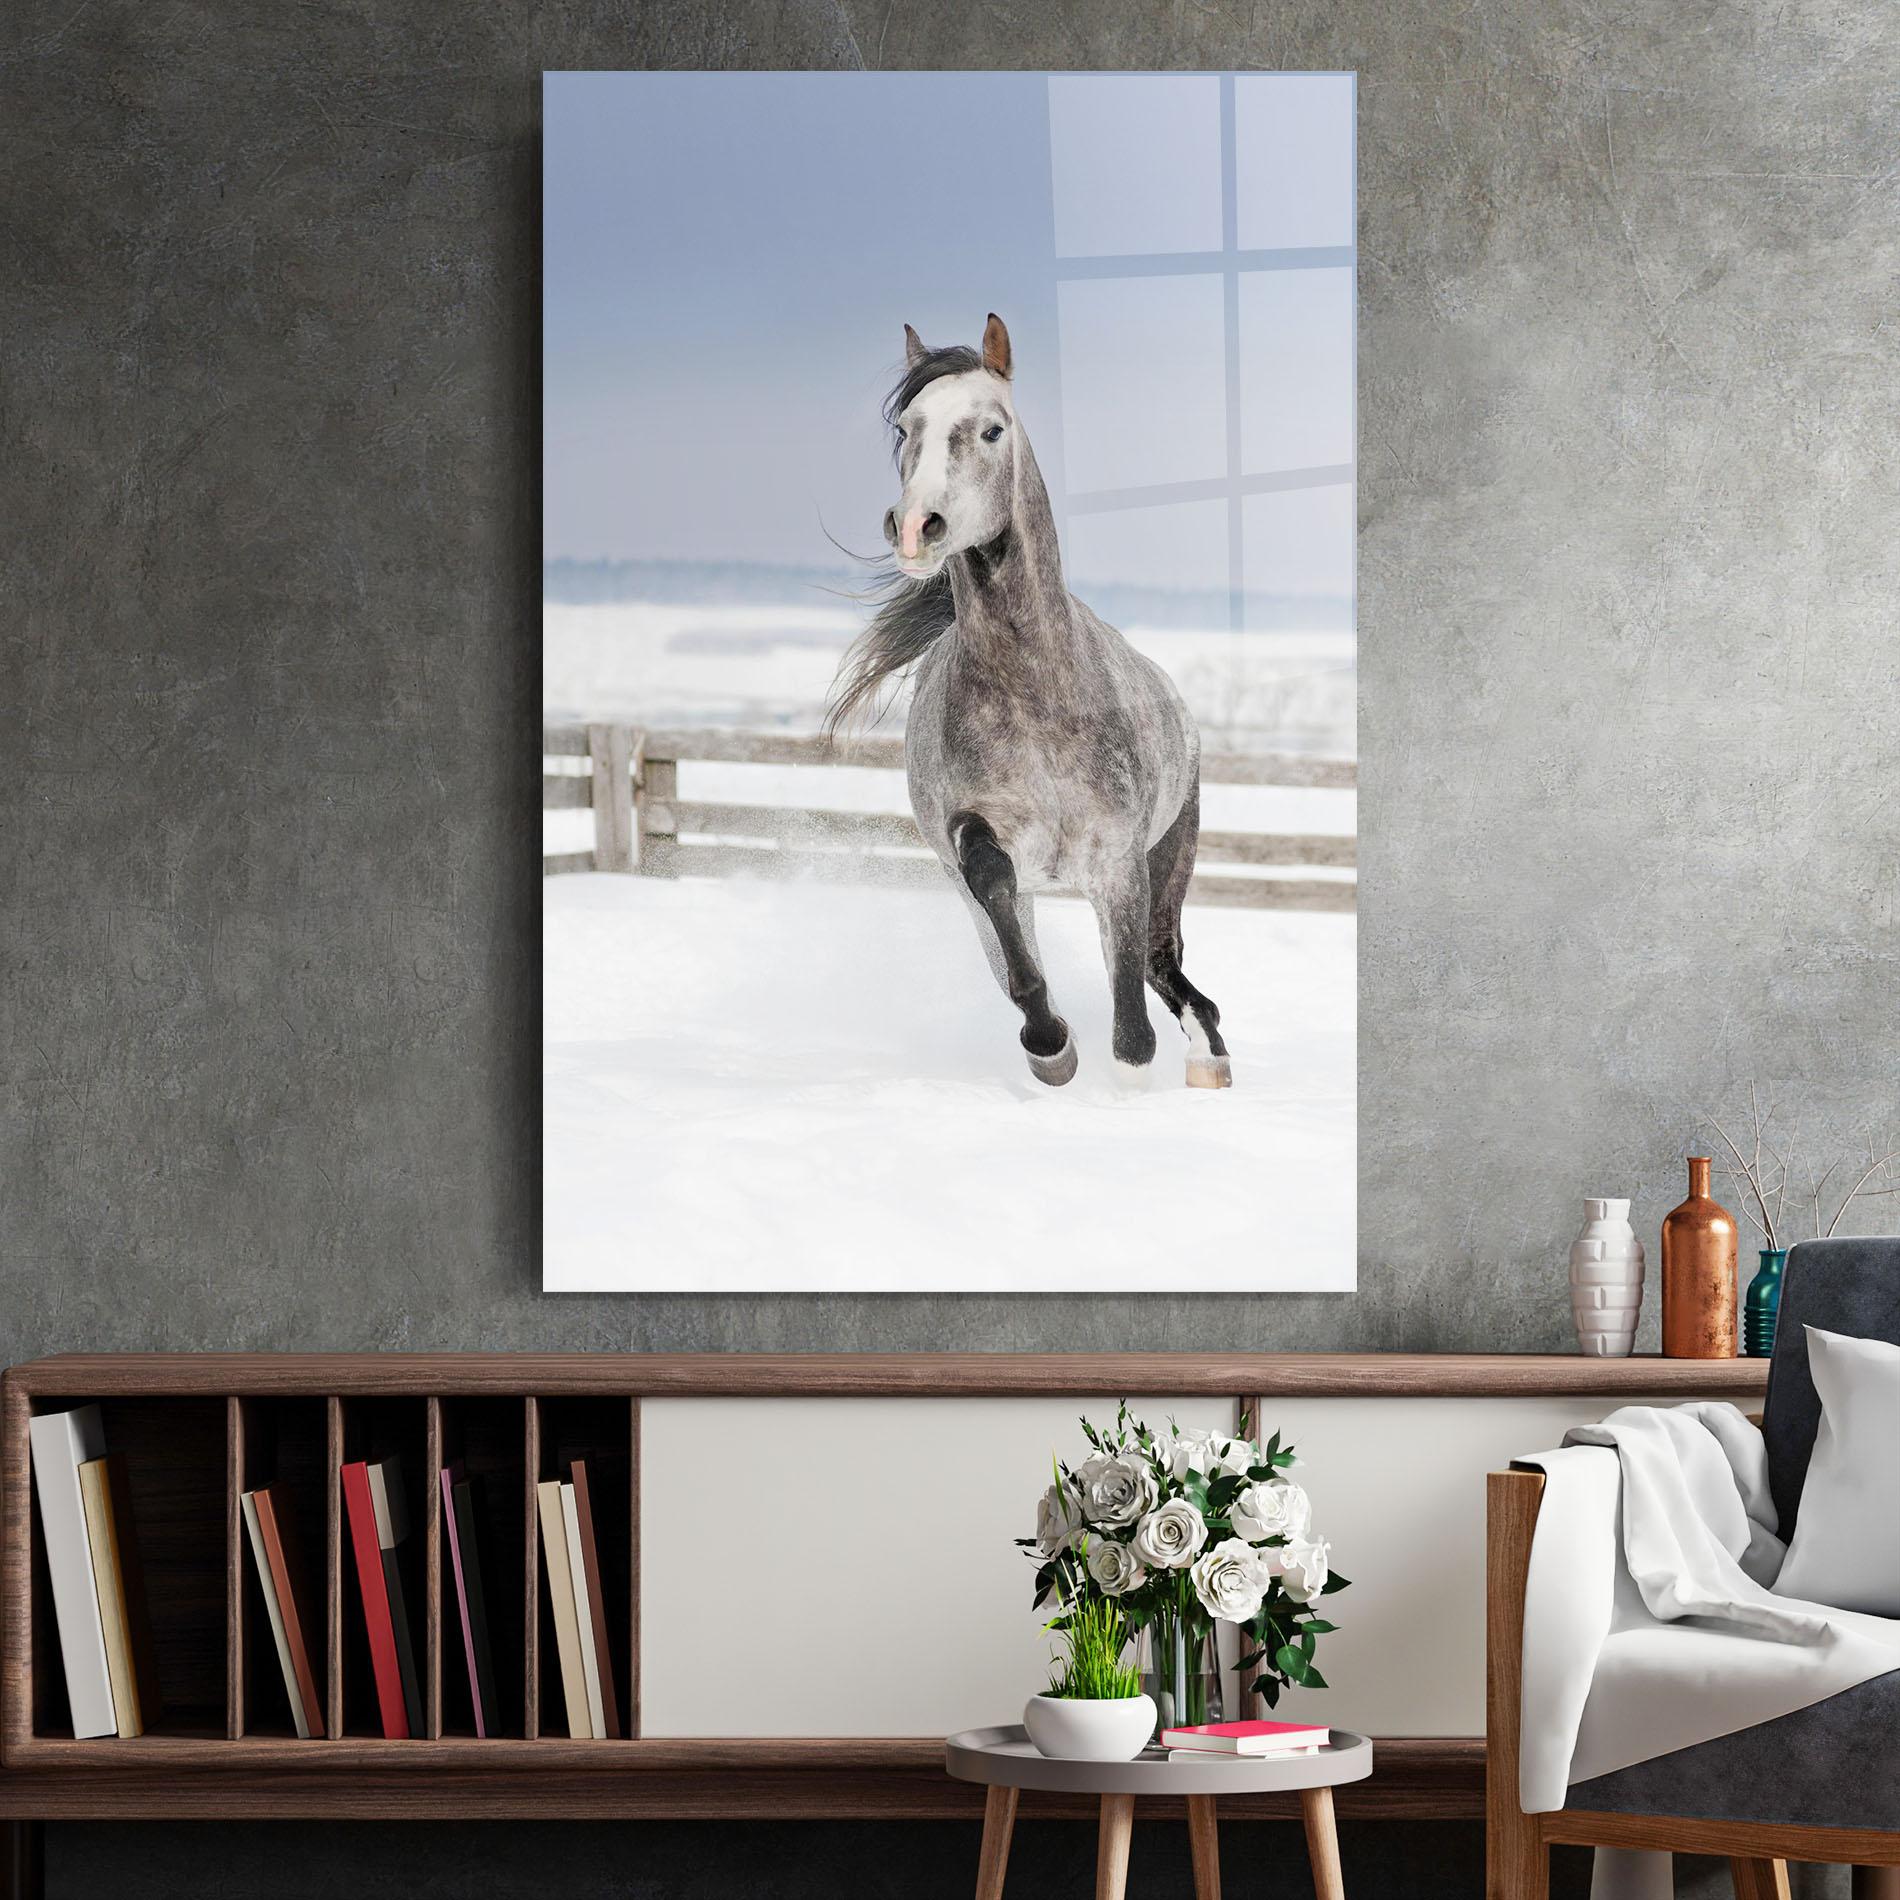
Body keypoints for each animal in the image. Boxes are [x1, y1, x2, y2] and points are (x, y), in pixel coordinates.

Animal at [825, 314, 1232, 1092]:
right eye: (907, 429)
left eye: (992, 429)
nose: (916, 527)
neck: (1036, 696)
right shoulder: (979, 850)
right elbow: (1005, 918)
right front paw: (1051, 1046)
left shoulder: (1119, 863)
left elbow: (1131, 1018)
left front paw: (1129, 1075)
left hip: (1170, 856)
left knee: (1163, 965)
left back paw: (1209, 1059)